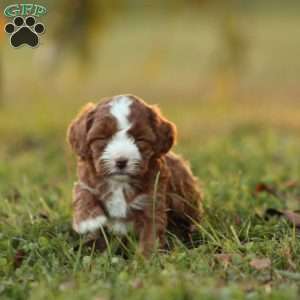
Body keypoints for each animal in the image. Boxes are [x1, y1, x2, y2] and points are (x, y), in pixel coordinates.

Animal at [67, 94, 204, 255]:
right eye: (102, 138)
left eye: (140, 139)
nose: (121, 161)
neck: (119, 183)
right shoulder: (86, 179)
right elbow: (83, 193)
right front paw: (88, 221)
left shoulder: (152, 200)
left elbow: (151, 233)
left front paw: (147, 258)